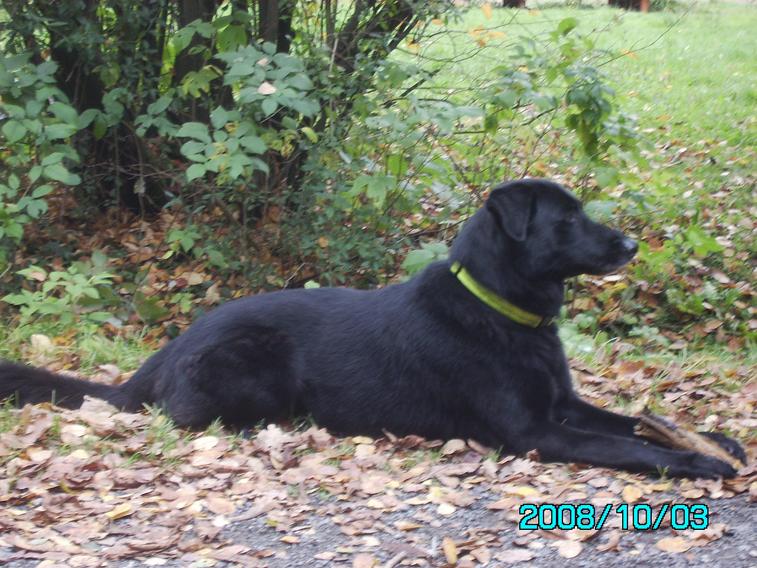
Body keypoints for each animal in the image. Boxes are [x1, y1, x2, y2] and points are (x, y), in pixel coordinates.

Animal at [0, 179, 745, 478]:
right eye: (565, 219)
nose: (631, 245)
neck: (499, 309)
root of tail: (164, 355)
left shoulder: (564, 404)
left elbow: (635, 419)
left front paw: (712, 438)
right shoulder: (537, 432)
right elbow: (628, 447)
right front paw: (695, 463)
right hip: (255, 367)